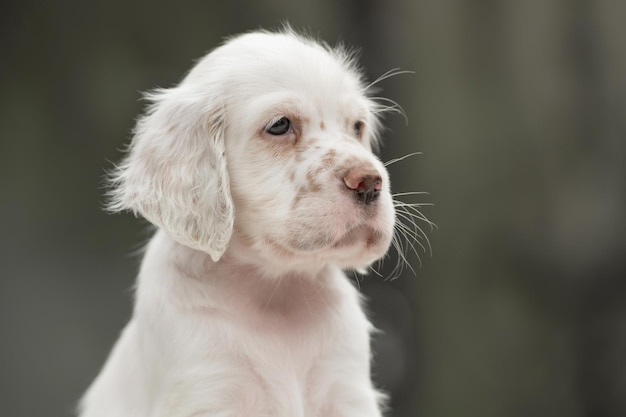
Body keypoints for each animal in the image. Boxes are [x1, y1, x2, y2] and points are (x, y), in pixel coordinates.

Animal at [80, 28, 402, 416]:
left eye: (357, 127)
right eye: (280, 125)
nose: (370, 183)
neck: (275, 294)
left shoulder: (346, 391)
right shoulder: (209, 391)